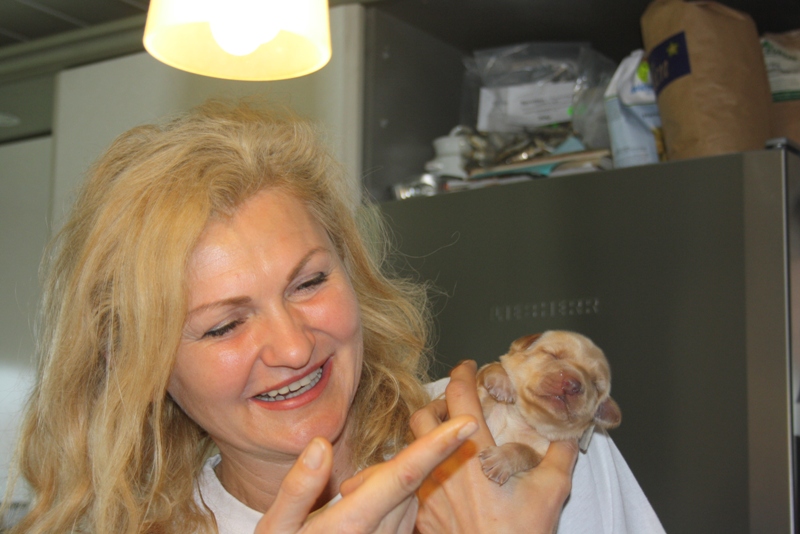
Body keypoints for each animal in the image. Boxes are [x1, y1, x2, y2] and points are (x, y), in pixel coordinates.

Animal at [476, 330, 621, 485]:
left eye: (595, 384)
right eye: (553, 355)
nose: (573, 384)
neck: (523, 419)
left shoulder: (540, 453)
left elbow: (523, 450)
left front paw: (500, 460)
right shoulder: (481, 402)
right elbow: (492, 368)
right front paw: (502, 383)